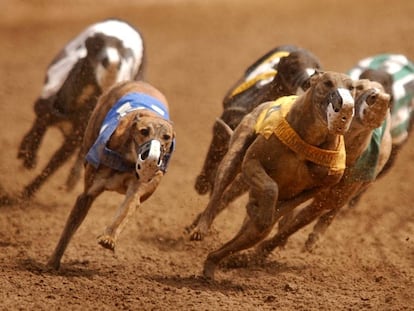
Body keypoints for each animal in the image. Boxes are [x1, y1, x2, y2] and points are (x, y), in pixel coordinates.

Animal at [47, 80, 175, 270]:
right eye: (144, 131)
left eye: (166, 137)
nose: (151, 158)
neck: (127, 158)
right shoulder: (87, 194)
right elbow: (69, 229)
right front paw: (52, 262)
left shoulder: (137, 189)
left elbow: (127, 208)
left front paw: (108, 238)